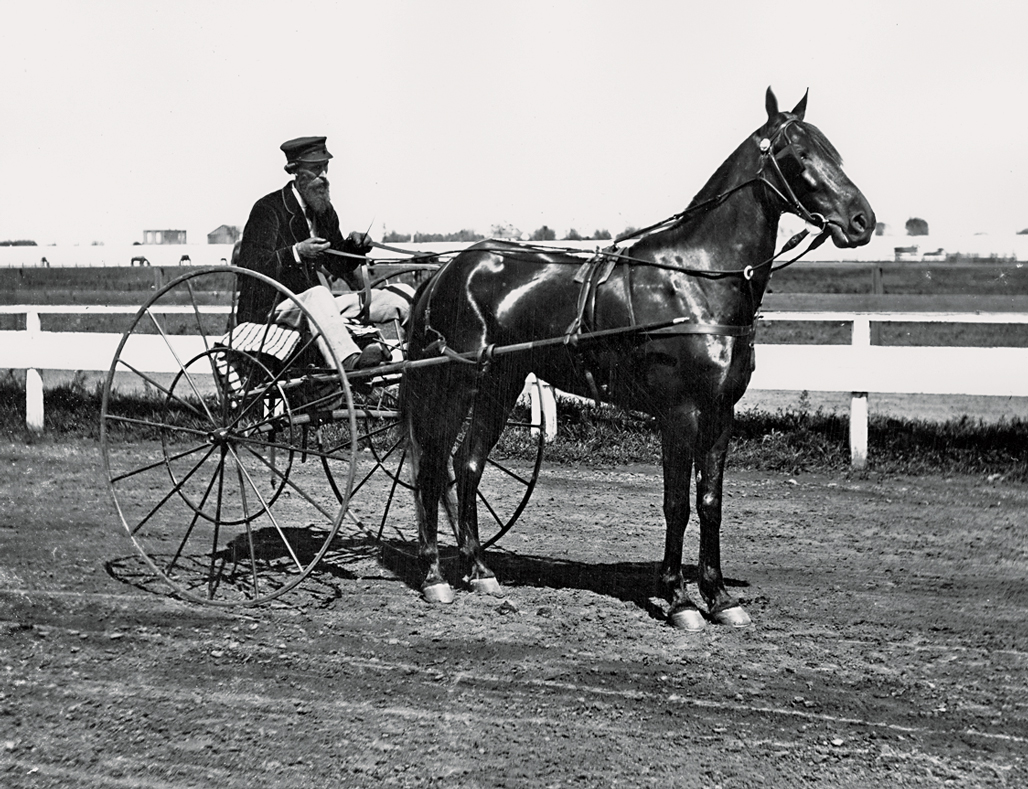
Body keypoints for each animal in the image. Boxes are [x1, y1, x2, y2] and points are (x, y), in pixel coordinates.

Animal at [400, 87, 875, 628]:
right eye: (799, 153)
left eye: (833, 152)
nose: (862, 221)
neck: (697, 280)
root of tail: (450, 268)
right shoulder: (680, 413)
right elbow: (677, 505)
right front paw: (679, 599)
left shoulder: (720, 413)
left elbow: (710, 502)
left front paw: (719, 598)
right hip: (453, 382)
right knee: (431, 467)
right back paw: (434, 575)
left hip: (500, 381)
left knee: (469, 463)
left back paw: (478, 570)